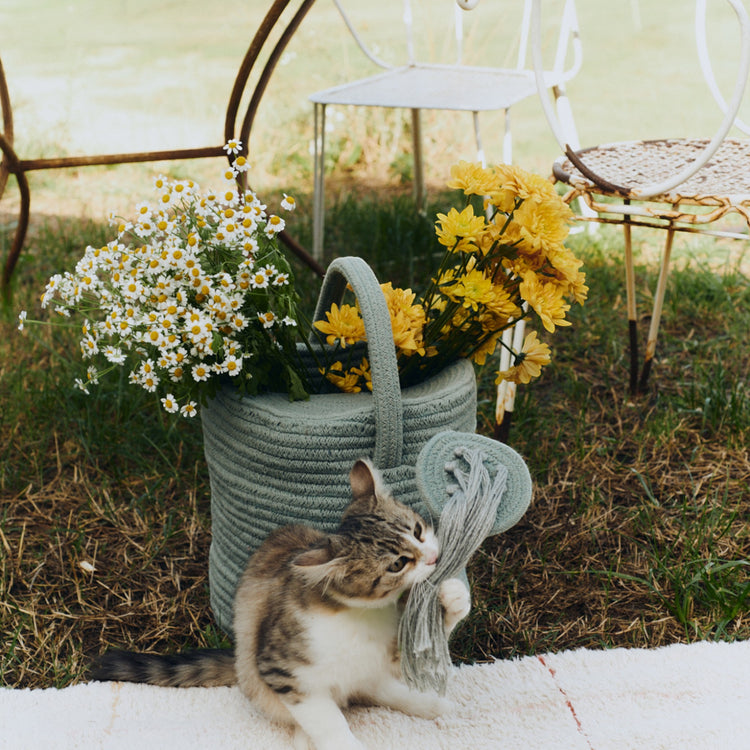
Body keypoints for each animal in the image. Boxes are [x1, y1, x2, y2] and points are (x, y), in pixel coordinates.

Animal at [89, 458, 470, 750]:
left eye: (418, 530)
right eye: (397, 564)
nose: (435, 558)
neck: (360, 617)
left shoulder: (390, 650)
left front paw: (452, 596)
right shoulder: (284, 672)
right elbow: (328, 723)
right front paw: (337, 742)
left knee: (378, 689)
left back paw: (433, 705)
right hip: (258, 675)